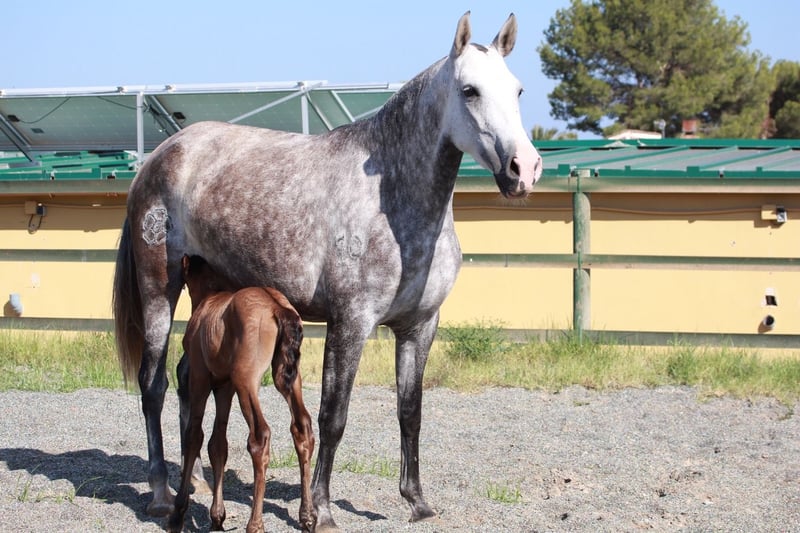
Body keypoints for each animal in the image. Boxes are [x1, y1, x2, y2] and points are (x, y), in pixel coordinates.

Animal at [167, 255, 315, 533]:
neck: (209, 302)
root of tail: (278, 308)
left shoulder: (200, 378)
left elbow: (194, 436)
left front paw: (178, 514)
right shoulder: (225, 387)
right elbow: (218, 445)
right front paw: (217, 517)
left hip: (246, 380)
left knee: (260, 436)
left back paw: (255, 524)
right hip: (288, 379)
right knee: (302, 430)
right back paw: (308, 517)